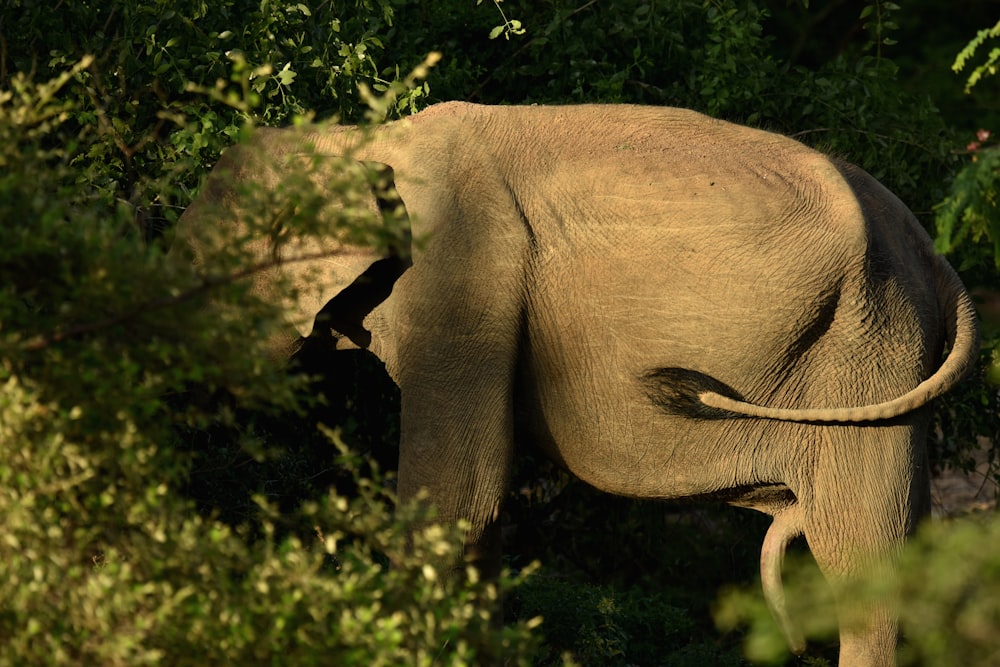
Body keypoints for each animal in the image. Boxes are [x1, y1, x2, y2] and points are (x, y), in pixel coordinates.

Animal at [170, 102, 976, 664]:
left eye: (202, 268)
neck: (362, 139)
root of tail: (938, 257)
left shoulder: (464, 274)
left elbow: (456, 497)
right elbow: (479, 514)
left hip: (869, 346)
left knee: (868, 573)